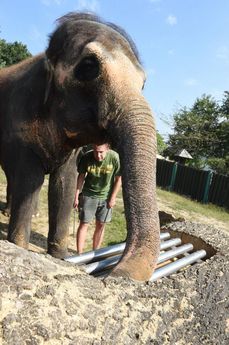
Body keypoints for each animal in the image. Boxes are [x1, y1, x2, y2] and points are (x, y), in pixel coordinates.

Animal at [0, 12, 160, 280]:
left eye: (144, 83)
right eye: (88, 66)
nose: (115, 273)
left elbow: (64, 184)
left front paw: (59, 256)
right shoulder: (20, 129)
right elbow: (31, 180)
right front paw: (19, 245)